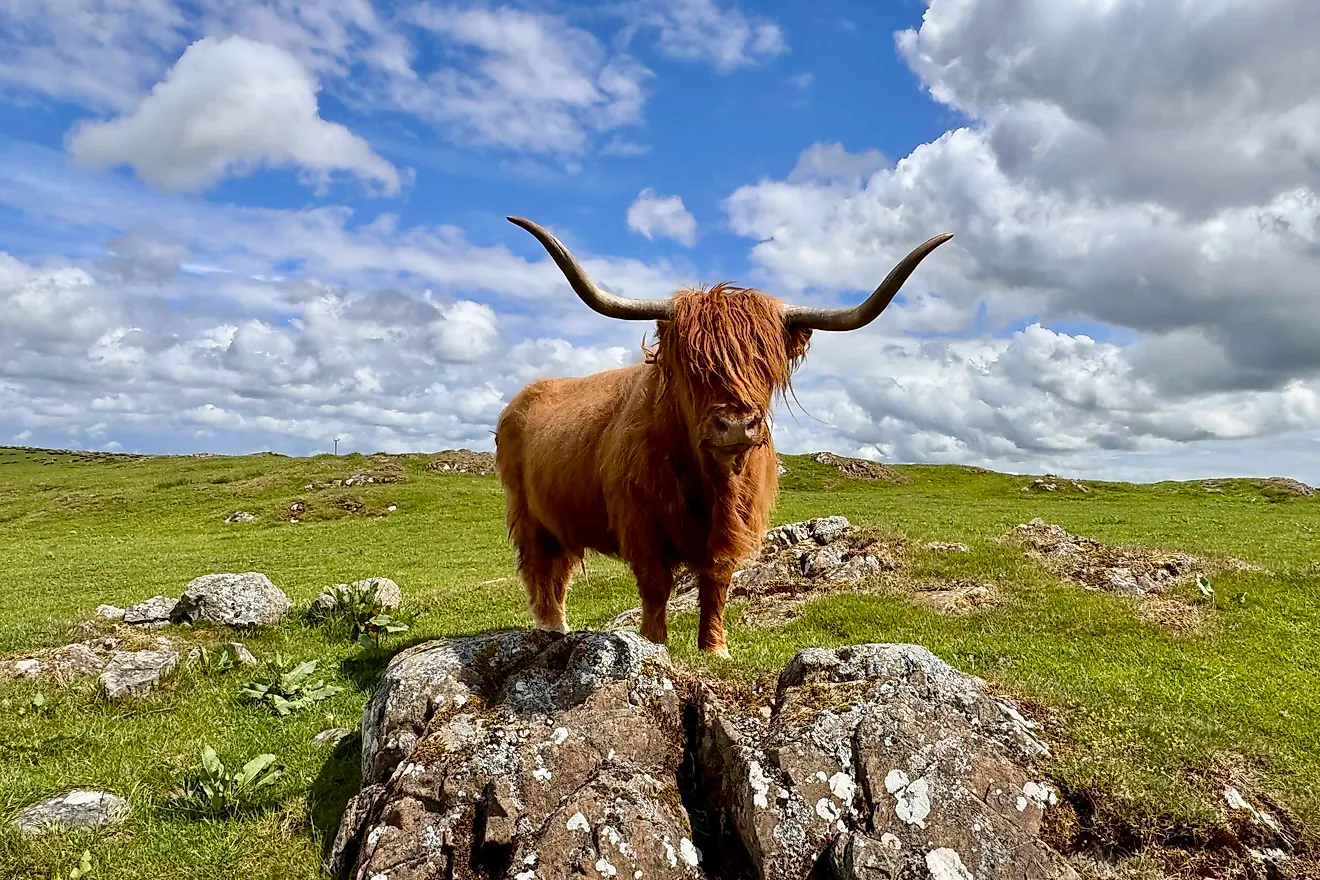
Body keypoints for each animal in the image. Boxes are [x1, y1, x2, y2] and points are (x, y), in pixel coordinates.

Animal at [494, 215, 952, 657]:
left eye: (765, 363)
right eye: (693, 364)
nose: (735, 425)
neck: (709, 484)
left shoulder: (734, 529)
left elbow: (716, 583)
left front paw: (715, 649)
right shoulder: (638, 524)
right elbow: (655, 585)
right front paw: (654, 644)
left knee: (560, 572)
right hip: (526, 514)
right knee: (541, 572)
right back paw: (552, 629)